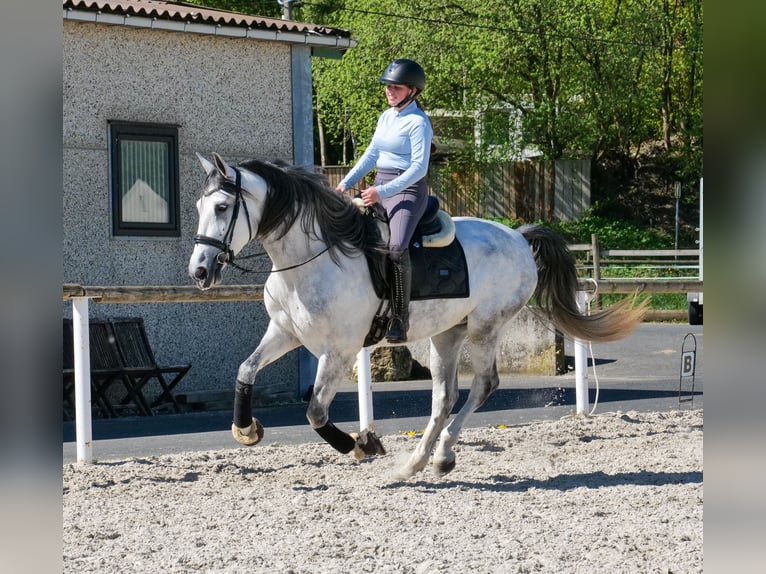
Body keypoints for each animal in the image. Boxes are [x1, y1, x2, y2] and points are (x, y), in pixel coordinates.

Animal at [188, 152, 646, 479]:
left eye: (224, 207)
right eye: (198, 206)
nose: (200, 271)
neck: (312, 259)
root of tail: (517, 236)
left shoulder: (339, 351)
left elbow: (316, 411)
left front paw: (361, 445)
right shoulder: (285, 332)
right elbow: (246, 369)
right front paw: (246, 429)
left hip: (484, 329)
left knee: (483, 385)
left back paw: (441, 456)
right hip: (447, 334)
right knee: (445, 396)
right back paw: (417, 463)